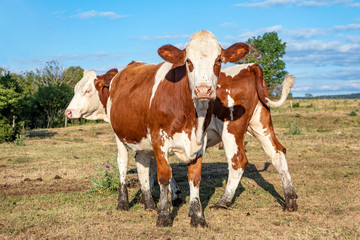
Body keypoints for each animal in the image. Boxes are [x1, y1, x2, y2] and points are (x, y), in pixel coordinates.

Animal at [65, 30, 250, 227]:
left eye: (219, 60)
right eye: (188, 61)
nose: (203, 90)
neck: (191, 115)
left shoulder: (200, 142)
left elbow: (194, 177)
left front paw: (197, 216)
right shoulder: (158, 140)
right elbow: (164, 176)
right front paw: (164, 214)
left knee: (142, 163)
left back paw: (148, 202)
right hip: (120, 135)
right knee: (123, 163)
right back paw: (123, 202)